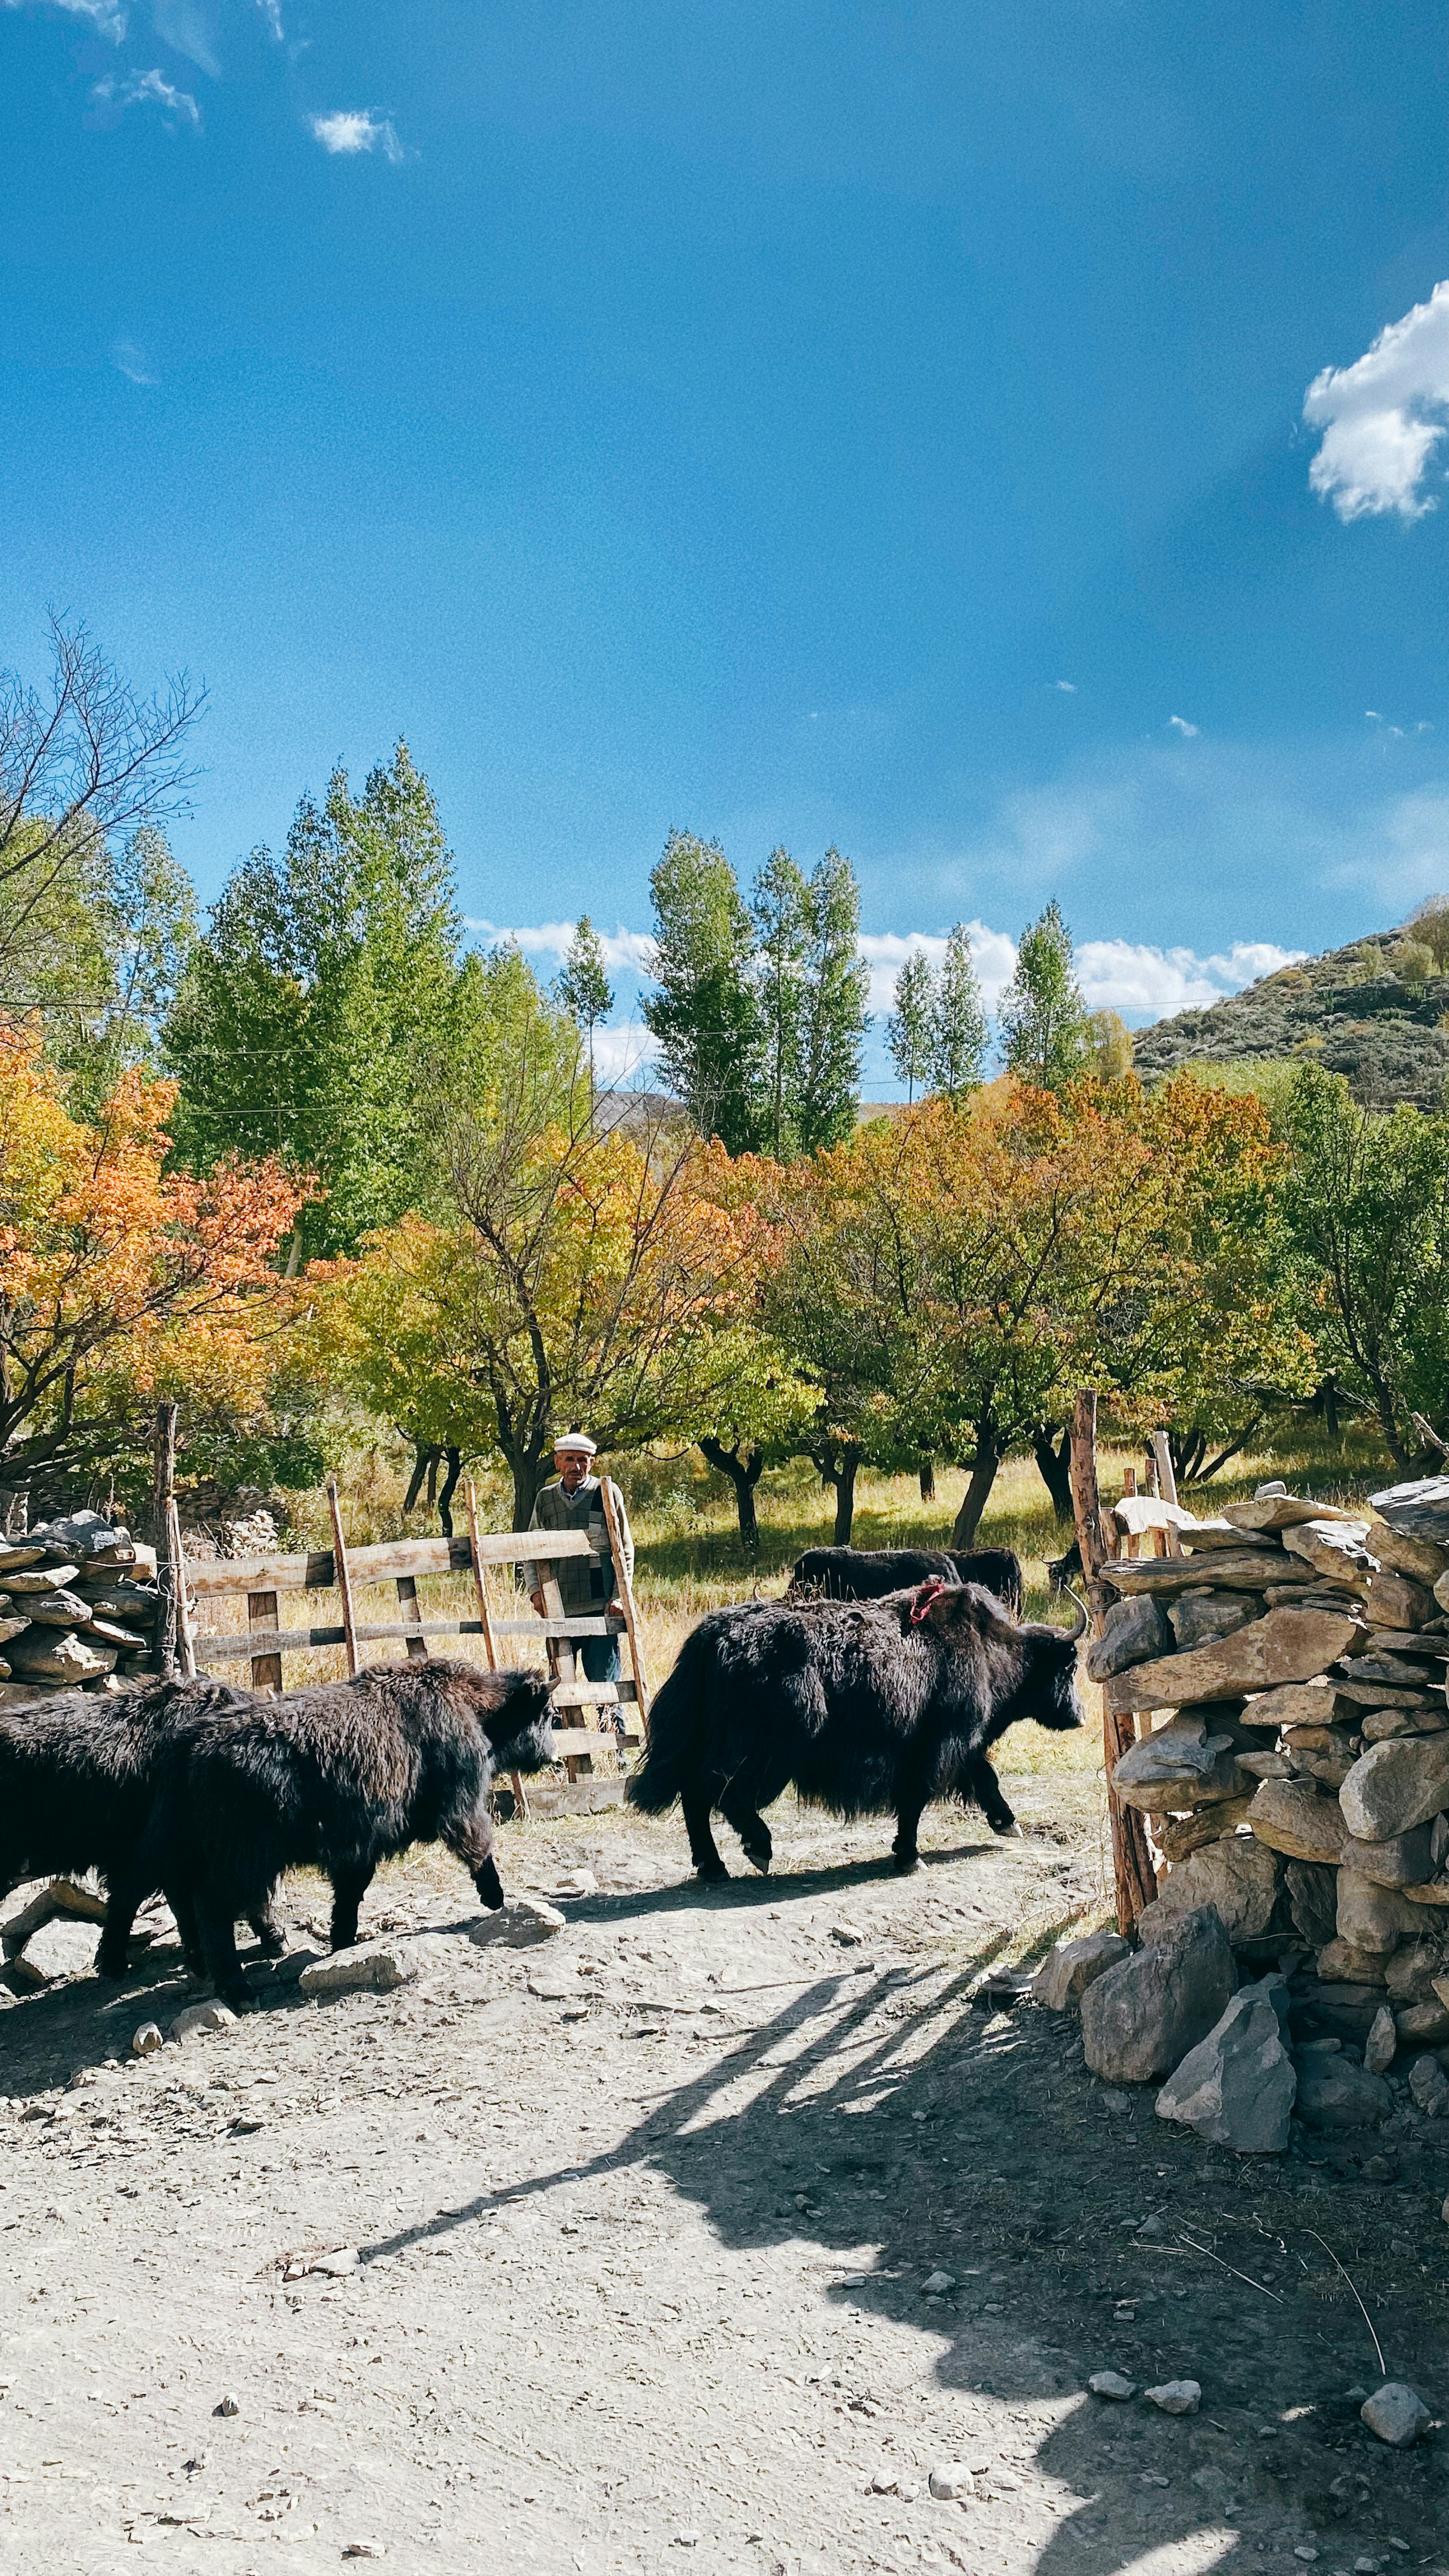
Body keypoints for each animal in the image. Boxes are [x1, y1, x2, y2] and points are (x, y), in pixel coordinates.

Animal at [626, 1566, 1078, 1875]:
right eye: (1070, 1666)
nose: (1079, 1717)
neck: (991, 1651)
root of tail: (712, 1636)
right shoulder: (941, 1742)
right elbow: (920, 1797)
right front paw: (909, 1856)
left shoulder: (956, 1746)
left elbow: (984, 1777)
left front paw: (1007, 1823)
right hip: (764, 1750)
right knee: (719, 1792)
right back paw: (758, 1849)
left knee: (696, 1792)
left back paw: (714, 1867)